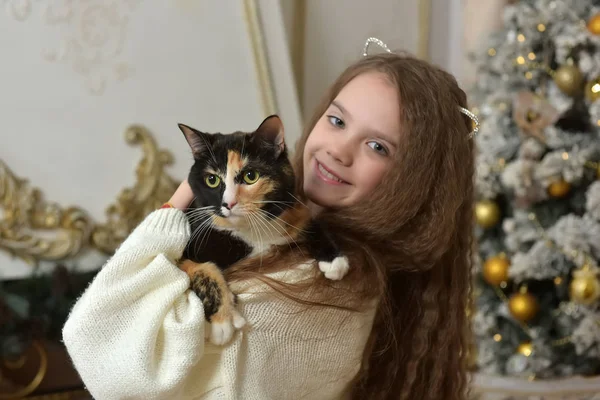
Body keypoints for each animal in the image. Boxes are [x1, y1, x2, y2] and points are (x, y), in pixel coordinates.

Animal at [176, 115, 350, 344]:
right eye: (212, 180)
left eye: (251, 176)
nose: (228, 203)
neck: (250, 230)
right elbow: (198, 268)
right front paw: (222, 320)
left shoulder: (291, 211)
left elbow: (309, 221)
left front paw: (333, 260)